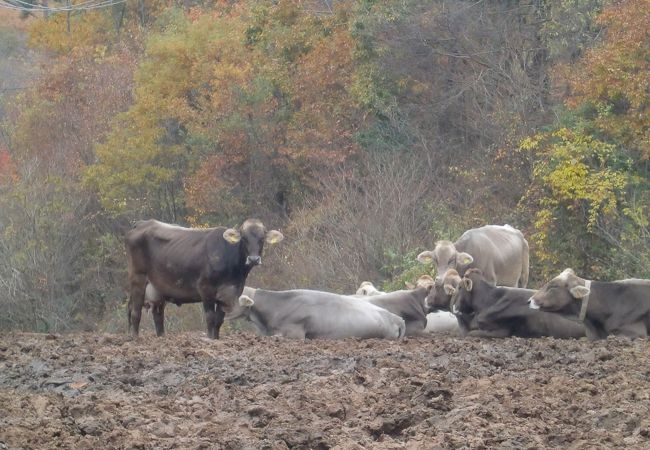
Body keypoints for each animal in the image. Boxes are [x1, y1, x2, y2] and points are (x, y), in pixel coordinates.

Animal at [124, 220, 280, 340]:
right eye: (244, 238)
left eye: (261, 239)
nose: (253, 259)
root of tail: (143, 223)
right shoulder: (205, 288)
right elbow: (210, 317)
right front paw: (210, 339)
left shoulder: (228, 293)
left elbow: (219, 320)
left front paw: (216, 339)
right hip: (138, 278)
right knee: (135, 310)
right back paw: (135, 338)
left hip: (158, 287)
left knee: (157, 314)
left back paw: (161, 337)